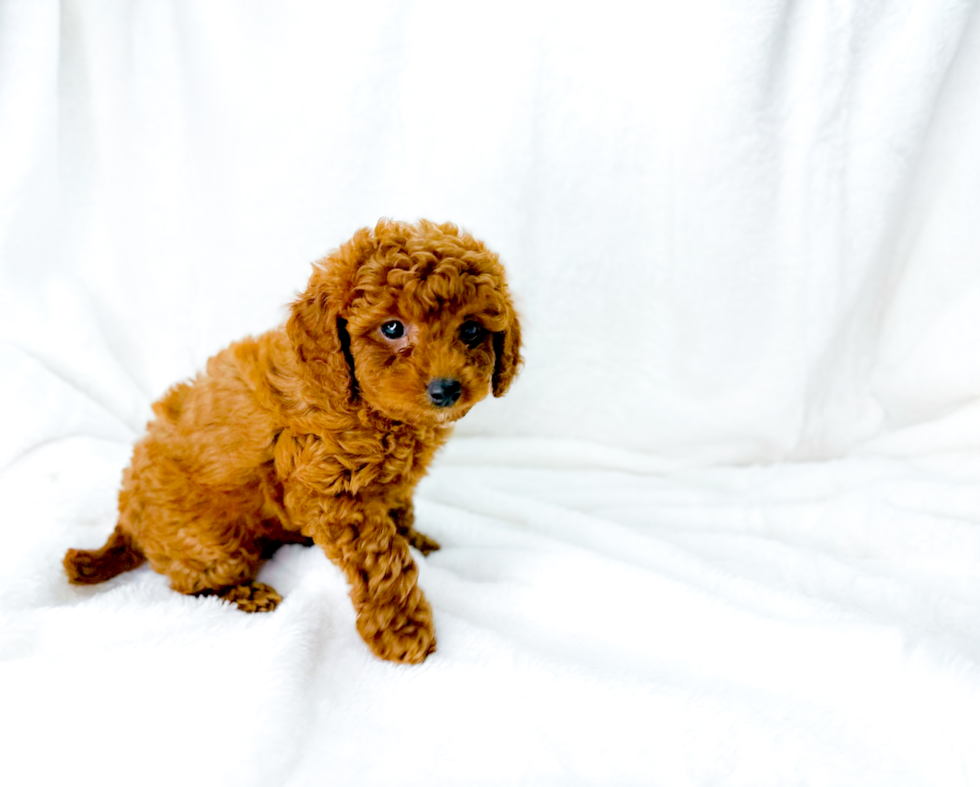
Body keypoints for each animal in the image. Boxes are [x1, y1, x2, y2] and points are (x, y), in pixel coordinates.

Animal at [63, 220, 520, 664]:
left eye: (472, 330)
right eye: (392, 327)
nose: (447, 389)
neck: (362, 401)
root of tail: (126, 518)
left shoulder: (390, 480)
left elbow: (399, 510)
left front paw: (417, 539)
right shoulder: (332, 494)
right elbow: (383, 560)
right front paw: (403, 630)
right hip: (211, 543)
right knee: (190, 581)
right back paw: (245, 592)